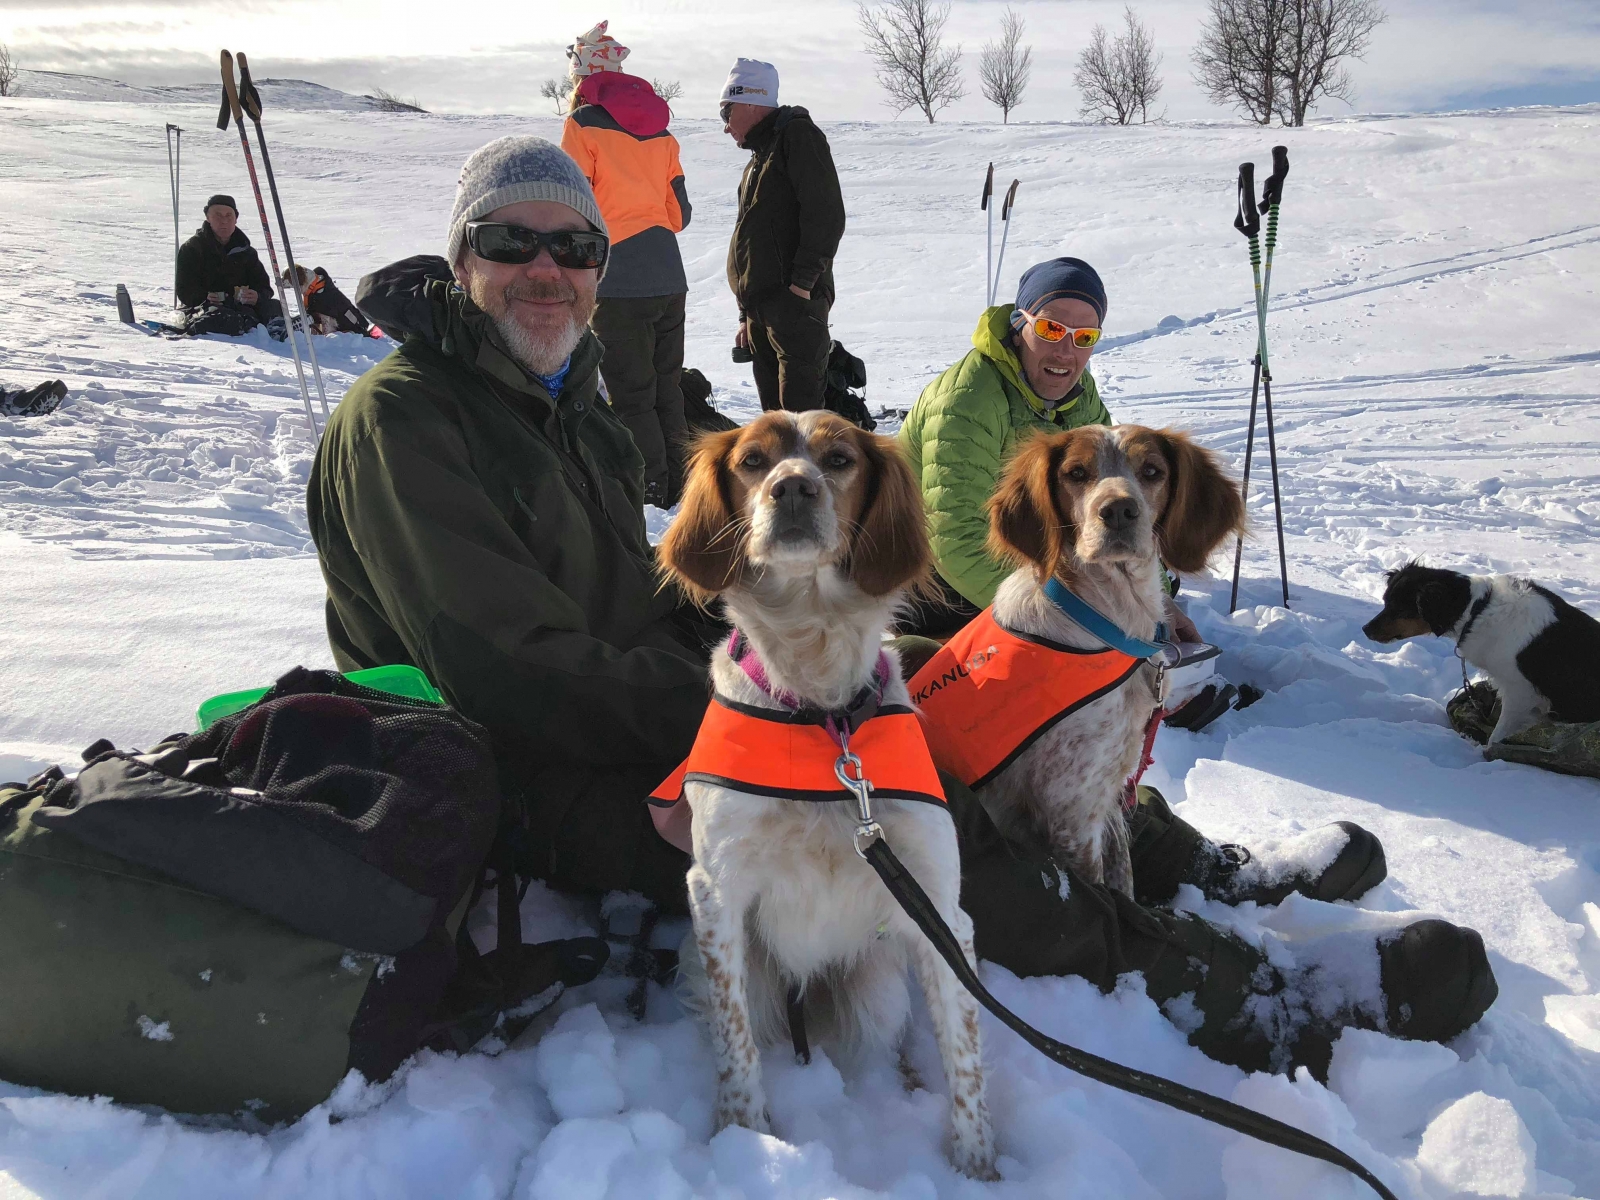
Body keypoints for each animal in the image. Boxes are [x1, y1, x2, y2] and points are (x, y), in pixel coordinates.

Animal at [657, 410, 996, 1180]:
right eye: (752, 461)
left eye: (839, 459)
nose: (791, 487)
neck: (822, 715)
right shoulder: (716, 893)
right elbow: (736, 1049)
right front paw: (744, 1139)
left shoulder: (940, 905)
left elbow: (964, 1055)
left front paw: (978, 1170)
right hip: (749, 971)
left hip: (877, 988)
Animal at [965, 425, 1244, 896]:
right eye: (1076, 473)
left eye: (1152, 471)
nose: (1117, 511)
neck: (1106, 622)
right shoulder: (1071, 815)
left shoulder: (1109, 796)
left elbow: (1123, 877)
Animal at [1363, 562, 1600, 743]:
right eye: (1385, 602)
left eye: (1400, 609)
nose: (1365, 629)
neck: (1478, 610)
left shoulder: (1520, 691)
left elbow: (1496, 738)